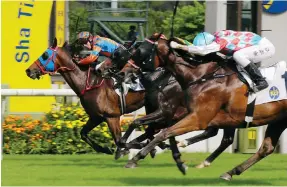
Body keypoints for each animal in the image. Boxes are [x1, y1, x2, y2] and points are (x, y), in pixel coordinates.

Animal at [125, 32, 286, 180]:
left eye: (139, 51)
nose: (124, 73)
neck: (201, 76)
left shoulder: (197, 118)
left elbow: (162, 133)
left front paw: (135, 157)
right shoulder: (179, 115)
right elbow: (155, 130)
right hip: (277, 120)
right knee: (265, 148)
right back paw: (230, 172)